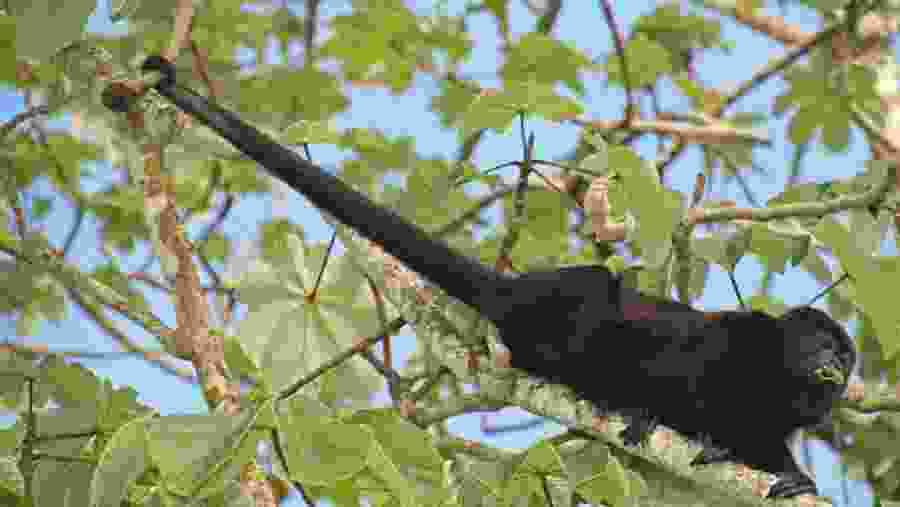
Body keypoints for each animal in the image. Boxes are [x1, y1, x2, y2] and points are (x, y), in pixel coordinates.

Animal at [127, 55, 857, 498]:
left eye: (846, 358)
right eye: (821, 343)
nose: (835, 366)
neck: (776, 373)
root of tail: (520, 291)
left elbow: (767, 449)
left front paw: (797, 478)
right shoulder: (743, 338)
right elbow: (691, 360)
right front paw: (684, 421)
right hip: (567, 307)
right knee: (603, 305)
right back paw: (625, 397)